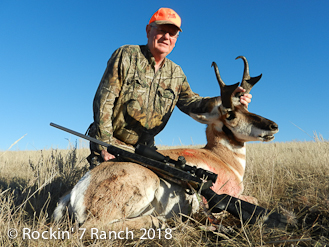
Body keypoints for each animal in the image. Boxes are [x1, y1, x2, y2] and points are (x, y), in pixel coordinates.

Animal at [53, 56, 276, 230]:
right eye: (230, 114)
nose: (273, 126)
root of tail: (78, 188)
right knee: (92, 228)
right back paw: (158, 221)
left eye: (247, 107)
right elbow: (252, 200)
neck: (221, 158)